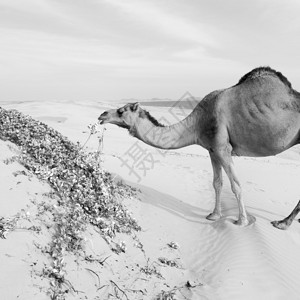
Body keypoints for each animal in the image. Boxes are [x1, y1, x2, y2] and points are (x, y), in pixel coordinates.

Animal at [99, 67, 300, 229]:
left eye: (121, 111)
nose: (102, 115)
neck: (198, 122)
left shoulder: (222, 147)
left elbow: (235, 185)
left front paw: (242, 221)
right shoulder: (212, 150)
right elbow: (217, 183)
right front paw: (214, 215)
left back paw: (283, 223)